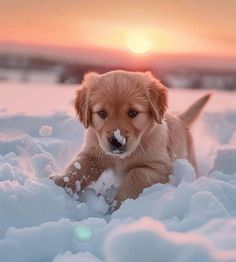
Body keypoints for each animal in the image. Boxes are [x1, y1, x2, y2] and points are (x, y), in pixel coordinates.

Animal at [52, 69, 210, 207]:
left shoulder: (159, 166)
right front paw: (63, 181)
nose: (117, 141)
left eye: (133, 112)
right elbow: (79, 165)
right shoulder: (94, 152)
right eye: (102, 113)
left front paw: (118, 205)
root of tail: (180, 119)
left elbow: (135, 175)